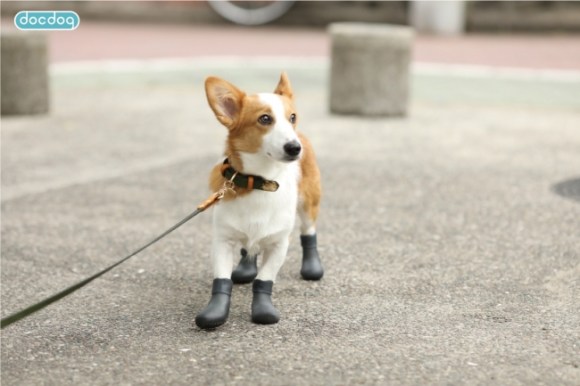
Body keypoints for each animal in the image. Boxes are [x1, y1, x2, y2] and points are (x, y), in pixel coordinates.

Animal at [194, 73, 322, 328]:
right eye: (265, 119)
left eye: (292, 117)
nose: (295, 148)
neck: (259, 180)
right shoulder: (222, 241)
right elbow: (222, 279)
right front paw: (215, 312)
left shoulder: (279, 245)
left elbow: (264, 280)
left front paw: (263, 310)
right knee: (248, 249)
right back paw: (245, 269)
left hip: (308, 204)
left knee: (308, 232)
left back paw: (312, 267)